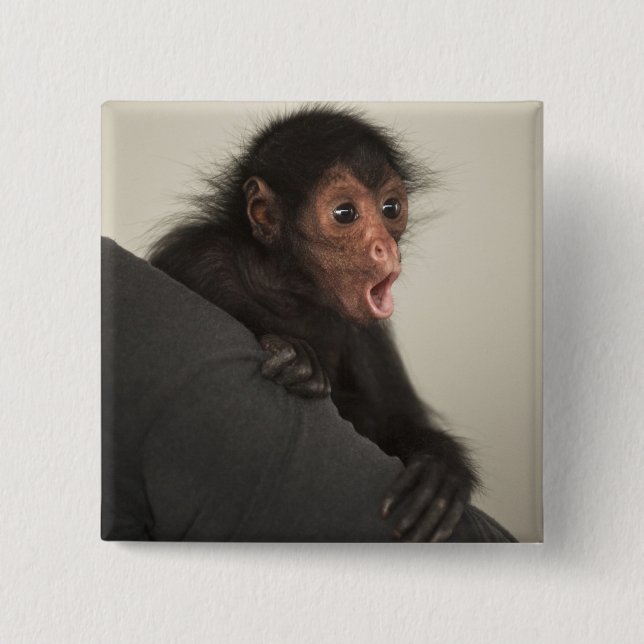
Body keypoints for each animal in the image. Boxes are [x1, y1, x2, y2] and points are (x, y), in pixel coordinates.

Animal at [147, 105, 480, 542]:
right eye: (345, 214)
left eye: (391, 209)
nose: (385, 247)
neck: (287, 292)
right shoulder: (199, 258)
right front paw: (295, 357)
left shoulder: (366, 332)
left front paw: (441, 467)